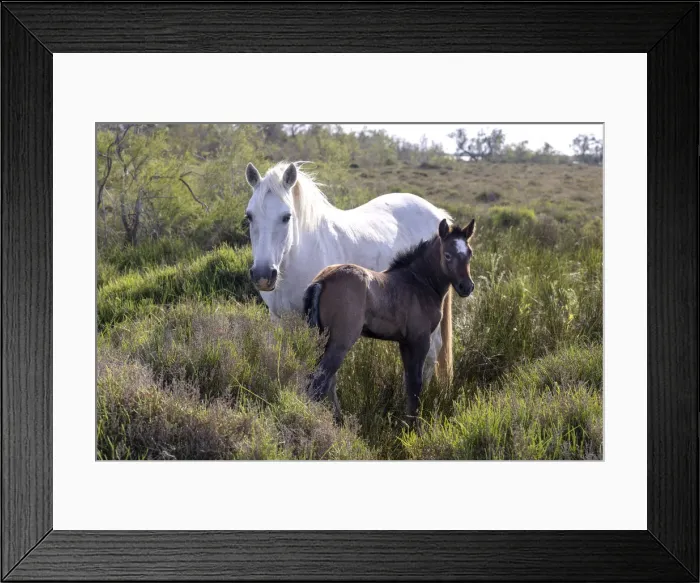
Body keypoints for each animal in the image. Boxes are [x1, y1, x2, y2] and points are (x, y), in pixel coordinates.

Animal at [244, 161, 454, 384]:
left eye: (286, 217)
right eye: (249, 216)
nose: (263, 275)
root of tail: (437, 214)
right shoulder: (279, 319)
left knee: (432, 352)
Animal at [303, 217, 476, 426]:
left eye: (469, 253)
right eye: (448, 255)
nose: (466, 287)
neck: (419, 282)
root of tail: (322, 281)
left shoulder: (405, 342)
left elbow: (408, 382)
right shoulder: (420, 340)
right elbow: (415, 384)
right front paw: (413, 427)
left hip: (319, 339)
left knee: (323, 380)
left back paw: (339, 420)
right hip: (340, 342)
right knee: (320, 381)